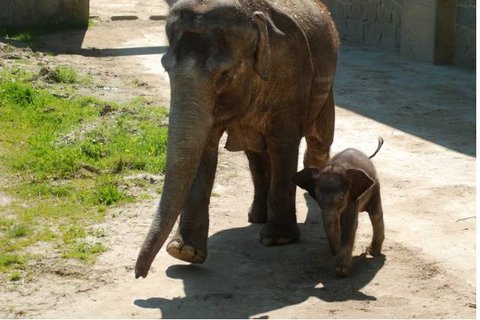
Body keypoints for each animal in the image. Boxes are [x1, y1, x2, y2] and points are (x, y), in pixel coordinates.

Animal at [135, 0, 338, 278]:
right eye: (165, 68)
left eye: (224, 74)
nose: (139, 274)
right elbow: (203, 148)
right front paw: (183, 252)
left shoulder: (291, 76)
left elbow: (284, 143)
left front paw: (277, 240)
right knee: (257, 155)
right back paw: (256, 218)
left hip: (326, 88)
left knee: (319, 141)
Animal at [292, 139, 386, 276]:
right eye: (318, 200)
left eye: (341, 198)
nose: (334, 253)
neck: (337, 167)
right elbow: (333, 223)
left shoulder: (352, 198)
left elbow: (349, 225)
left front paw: (342, 271)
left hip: (375, 188)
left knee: (375, 214)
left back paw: (373, 253)